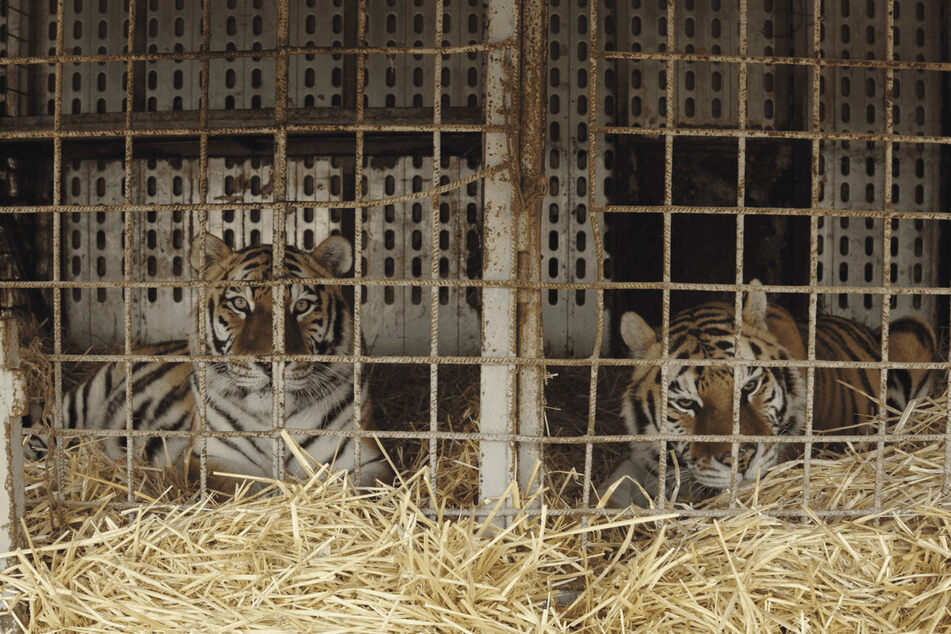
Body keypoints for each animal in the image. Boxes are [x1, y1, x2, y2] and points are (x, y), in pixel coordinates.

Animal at [40, 232, 390, 488]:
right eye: (240, 304)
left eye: (301, 306)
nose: (270, 362)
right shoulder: (214, 459)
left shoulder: (365, 460)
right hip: (81, 400)